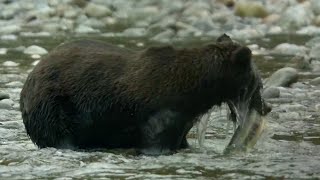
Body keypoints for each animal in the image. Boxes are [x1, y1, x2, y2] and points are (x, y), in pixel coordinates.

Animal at [19, 34, 270, 155]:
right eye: (259, 85)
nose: (267, 107)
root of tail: (31, 75)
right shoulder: (159, 112)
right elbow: (155, 141)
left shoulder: (181, 118)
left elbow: (180, 139)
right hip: (54, 105)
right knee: (60, 134)